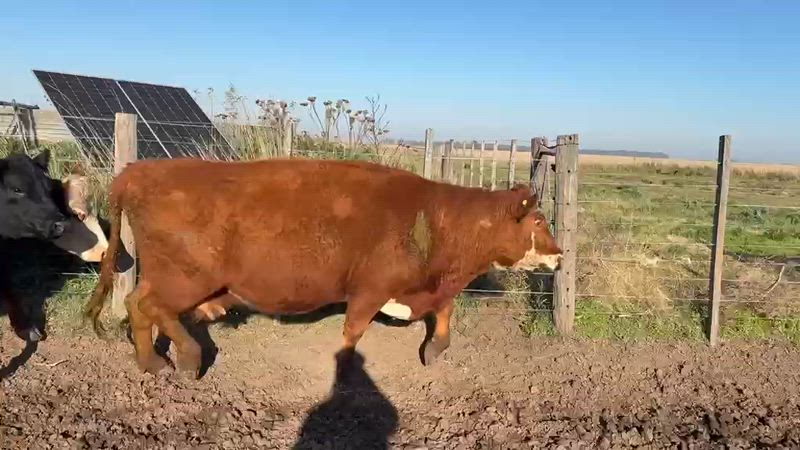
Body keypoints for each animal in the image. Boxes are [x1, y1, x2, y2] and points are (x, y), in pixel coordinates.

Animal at [85, 158, 562, 378]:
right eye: (539, 221)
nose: (558, 255)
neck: (434, 219)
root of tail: (140, 171)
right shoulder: (370, 289)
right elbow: (353, 332)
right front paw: (347, 369)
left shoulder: (429, 287)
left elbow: (444, 313)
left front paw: (434, 349)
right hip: (185, 278)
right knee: (149, 307)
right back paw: (186, 357)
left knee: (140, 306)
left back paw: (152, 361)